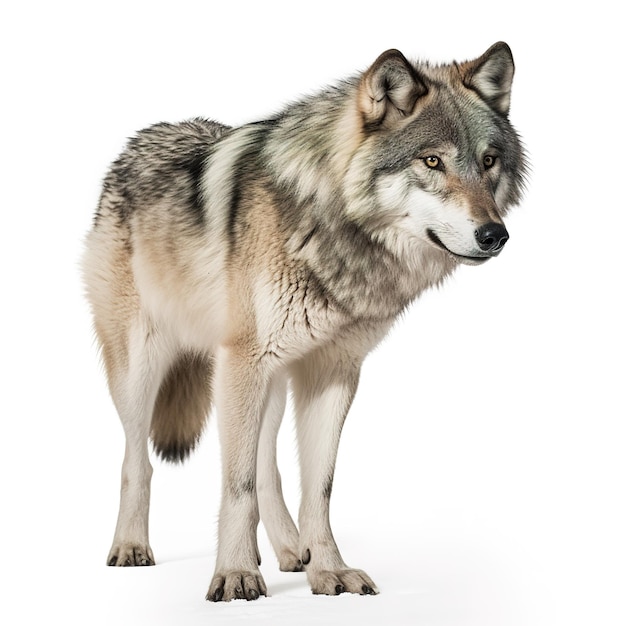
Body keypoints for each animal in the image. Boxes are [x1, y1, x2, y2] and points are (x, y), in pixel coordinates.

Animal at [80, 42, 524, 600]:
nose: (495, 235)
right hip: (145, 366)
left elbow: (318, 487)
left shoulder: (332, 372)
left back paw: (291, 552)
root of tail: (136, 141)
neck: (331, 226)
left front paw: (328, 569)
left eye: (488, 161)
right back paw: (132, 546)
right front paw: (235, 574)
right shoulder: (243, 363)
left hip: (267, 379)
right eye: (432, 161)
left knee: (266, 468)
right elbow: (236, 484)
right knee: (136, 460)